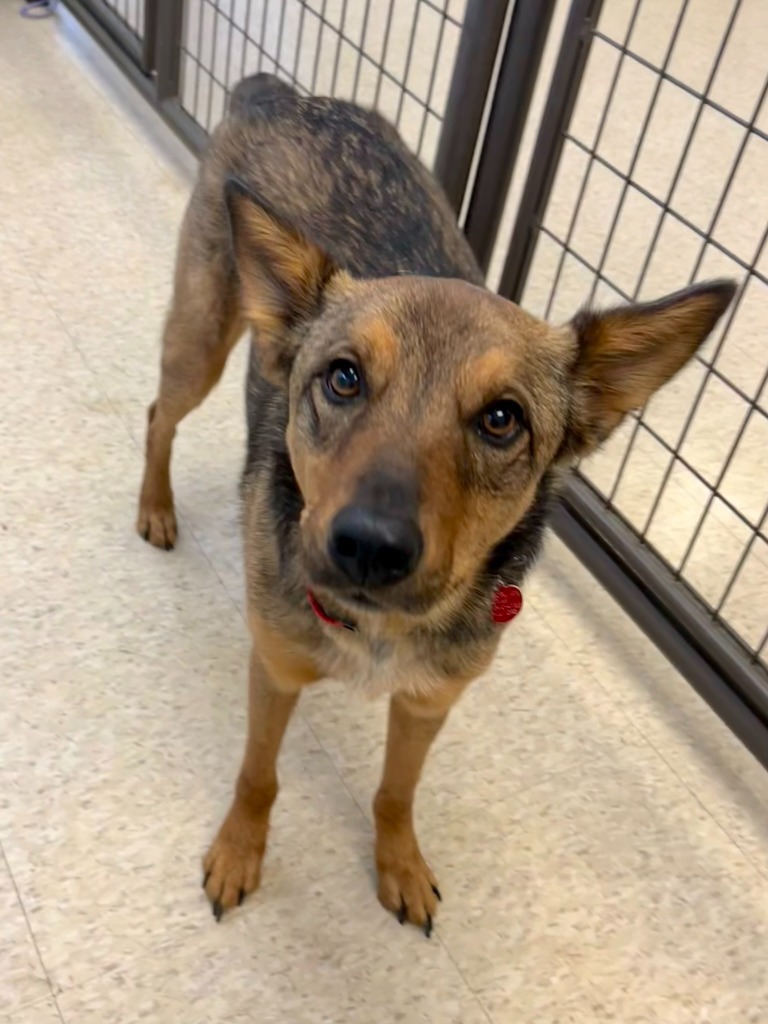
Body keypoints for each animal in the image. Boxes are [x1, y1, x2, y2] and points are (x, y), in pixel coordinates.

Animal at [138, 72, 741, 937]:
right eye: (343, 377)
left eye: (502, 419)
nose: (369, 546)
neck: (381, 631)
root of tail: (280, 91)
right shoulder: (275, 671)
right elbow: (258, 776)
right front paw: (238, 853)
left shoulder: (429, 705)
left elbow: (397, 793)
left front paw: (399, 865)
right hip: (201, 337)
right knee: (160, 413)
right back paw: (155, 508)